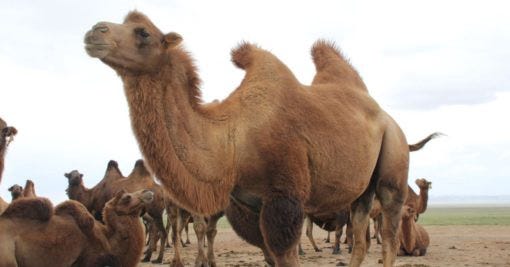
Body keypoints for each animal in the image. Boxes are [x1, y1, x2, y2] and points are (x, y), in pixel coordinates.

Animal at [84, 11, 422, 266]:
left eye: (142, 32)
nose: (93, 31)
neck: (233, 139)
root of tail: (386, 116)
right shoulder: (247, 207)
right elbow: (269, 256)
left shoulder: (285, 199)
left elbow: (286, 256)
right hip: (361, 189)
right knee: (361, 236)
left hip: (394, 158)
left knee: (389, 234)